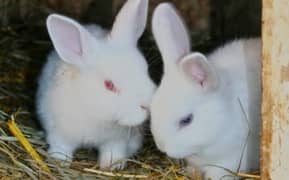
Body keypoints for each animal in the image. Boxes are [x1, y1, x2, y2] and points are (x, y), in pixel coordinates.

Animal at [36, 0, 155, 169]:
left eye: (146, 70)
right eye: (109, 85)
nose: (147, 106)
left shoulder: (116, 140)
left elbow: (113, 151)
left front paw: (112, 165)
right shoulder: (58, 132)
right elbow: (61, 146)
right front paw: (59, 160)